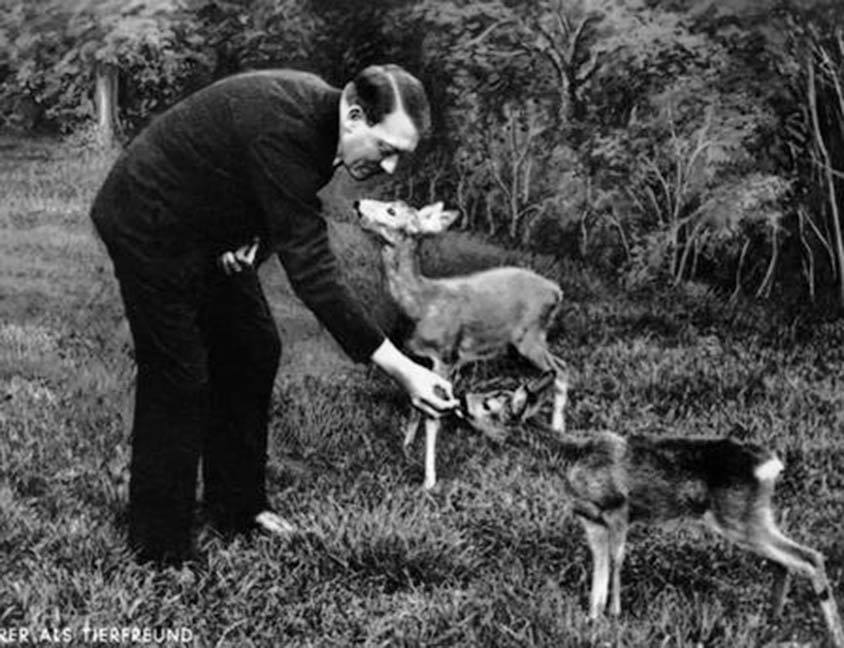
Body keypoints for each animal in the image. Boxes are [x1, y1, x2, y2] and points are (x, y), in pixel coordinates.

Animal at [354, 198, 569, 490]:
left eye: (391, 210)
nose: (358, 203)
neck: (422, 303)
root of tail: (556, 291)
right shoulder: (419, 358)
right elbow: (415, 405)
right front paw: (407, 445)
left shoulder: (446, 356)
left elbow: (433, 417)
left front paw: (429, 479)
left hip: (530, 336)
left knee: (561, 367)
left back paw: (558, 428)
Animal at [456, 372, 844, 647]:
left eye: (490, 403)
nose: (460, 397)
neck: (571, 458)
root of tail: (771, 466)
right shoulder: (590, 520)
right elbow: (598, 570)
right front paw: (593, 620)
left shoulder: (618, 507)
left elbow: (616, 561)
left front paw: (614, 614)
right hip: (750, 518)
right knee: (786, 560)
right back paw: (772, 622)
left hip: (739, 518)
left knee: (810, 557)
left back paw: (832, 633)